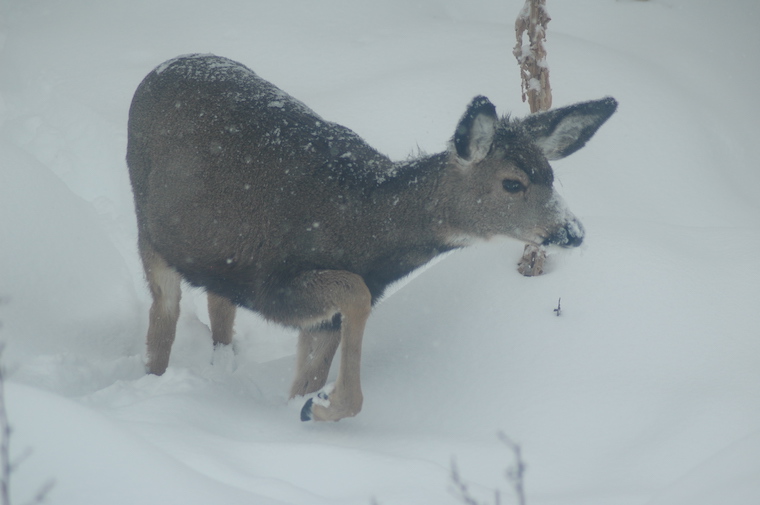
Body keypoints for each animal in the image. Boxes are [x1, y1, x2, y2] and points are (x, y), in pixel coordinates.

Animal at [127, 53, 617, 422]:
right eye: (512, 183)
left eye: (551, 176)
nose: (572, 231)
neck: (365, 224)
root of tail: (163, 67)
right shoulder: (273, 285)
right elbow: (355, 294)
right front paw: (325, 407)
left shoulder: (320, 313)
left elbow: (310, 370)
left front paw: (305, 406)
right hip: (148, 230)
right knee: (164, 315)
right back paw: (154, 381)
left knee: (217, 303)